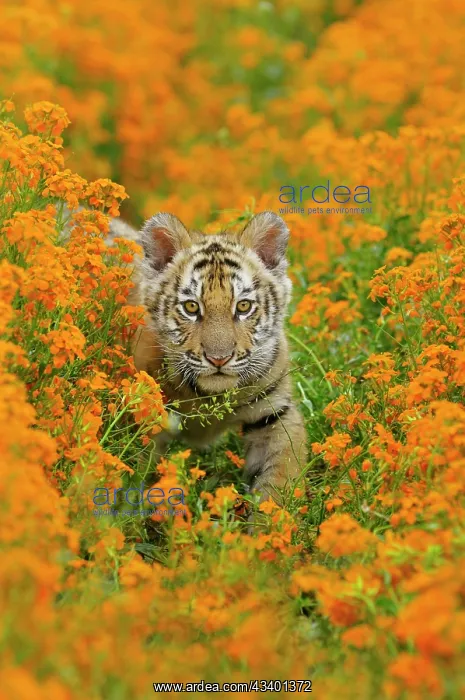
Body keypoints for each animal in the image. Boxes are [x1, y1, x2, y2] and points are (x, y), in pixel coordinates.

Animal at [112, 210, 307, 503]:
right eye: (191, 307)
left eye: (243, 306)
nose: (219, 359)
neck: (208, 397)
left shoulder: (273, 414)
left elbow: (281, 474)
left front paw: (270, 514)